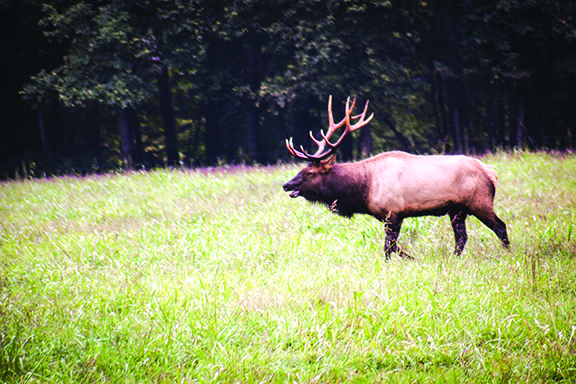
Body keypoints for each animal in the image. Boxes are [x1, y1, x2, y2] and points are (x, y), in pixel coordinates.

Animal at [282, 95, 510, 260]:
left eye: (309, 173)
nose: (286, 185)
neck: (363, 189)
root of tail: (491, 172)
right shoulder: (388, 216)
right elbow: (393, 246)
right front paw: (411, 258)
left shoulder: (393, 212)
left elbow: (388, 247)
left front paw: (401, 261)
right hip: (457, 210)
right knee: (462, 237)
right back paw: (455, 259)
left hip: (480, 202)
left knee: (500, 227)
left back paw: (508, 254)